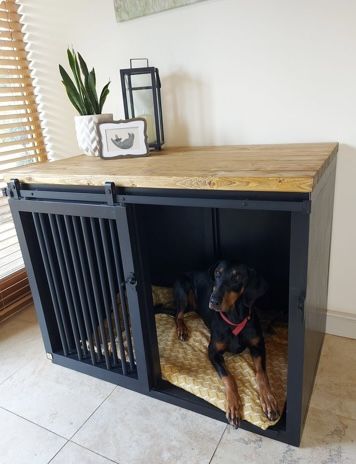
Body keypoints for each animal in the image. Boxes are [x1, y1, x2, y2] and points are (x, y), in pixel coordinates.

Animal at [174, 260, 280, 430]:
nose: (213, 301)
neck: (234, 318)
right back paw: (182, 329)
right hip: (183, 290)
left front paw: (269, 400)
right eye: (218, 273)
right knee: (177, 314)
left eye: (237, 277)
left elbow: (262, 374)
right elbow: (228, 377)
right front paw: (233, 406)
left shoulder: (258, 346)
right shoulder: (213, 352)